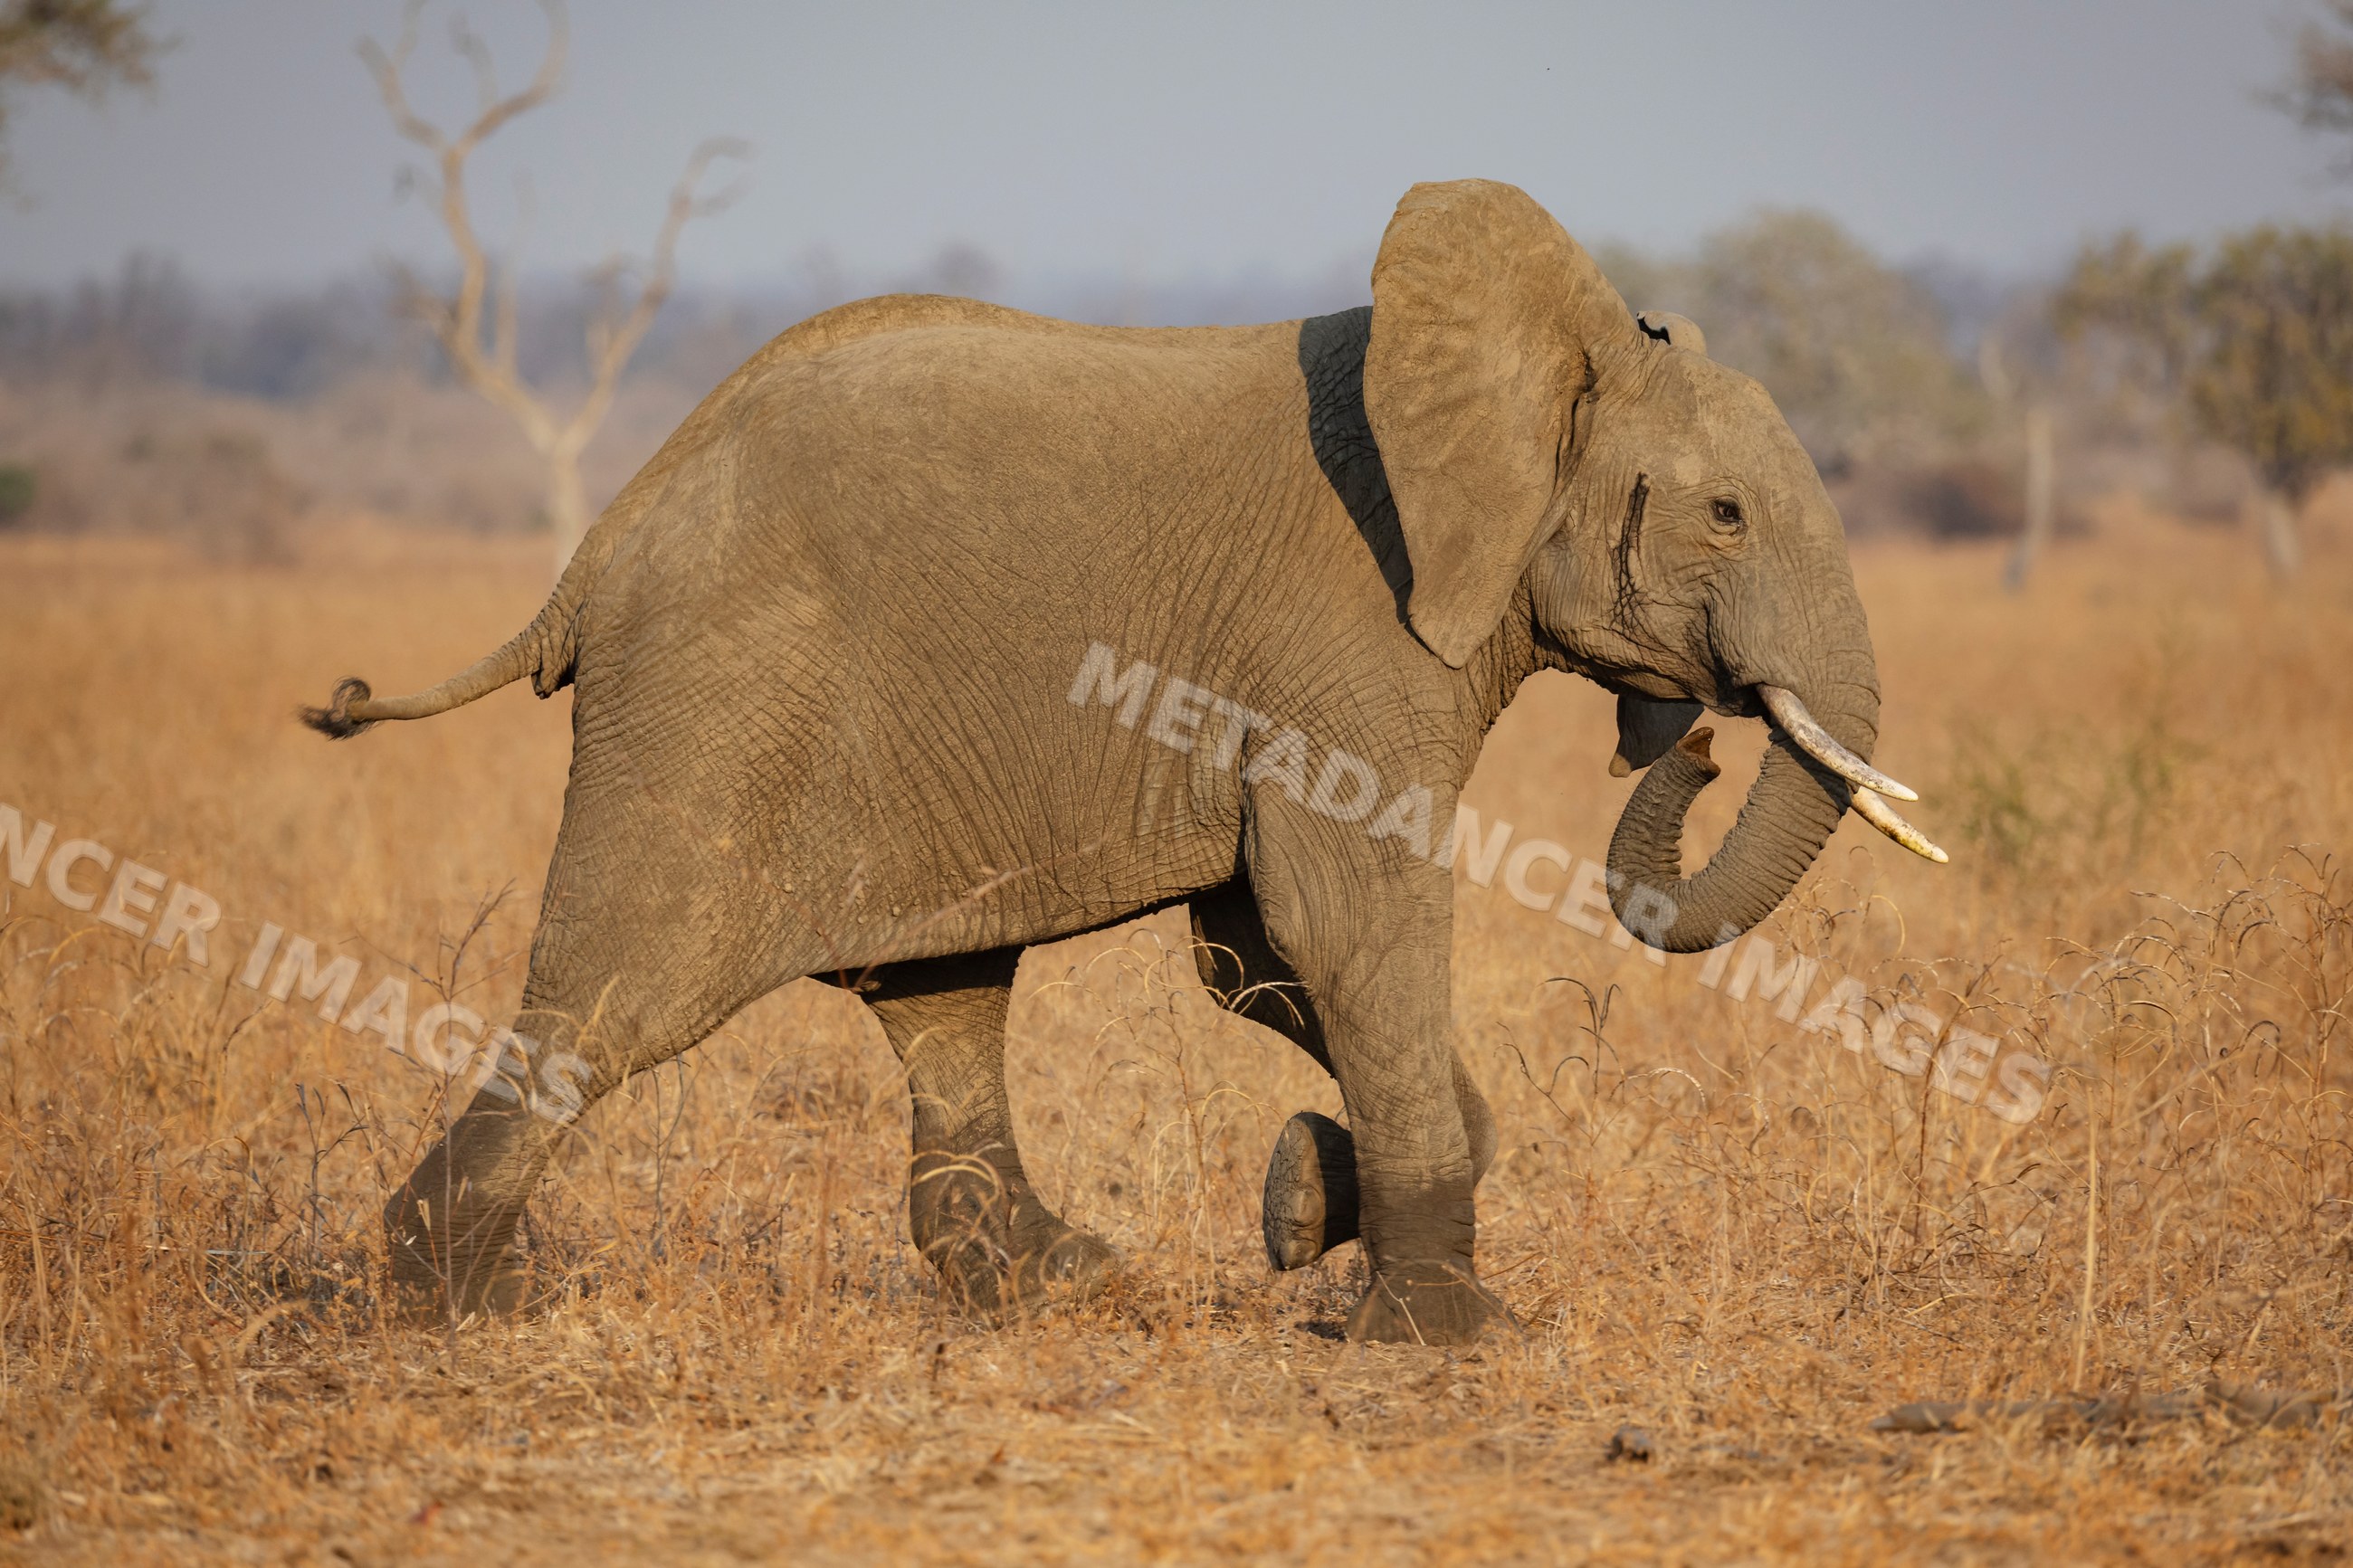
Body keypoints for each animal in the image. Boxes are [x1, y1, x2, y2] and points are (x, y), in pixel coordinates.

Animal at [303, 179, 1941, 1345]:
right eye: (1727, 514)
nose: (1706, 740)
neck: (1533, 354)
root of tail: (600, 544)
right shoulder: (1353, 630)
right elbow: (1341, 914)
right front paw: (1451, 1328)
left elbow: (1262, 948)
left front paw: (1299, 1202)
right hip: (717, 702)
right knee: (620, 987)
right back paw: (446, 1297)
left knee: (939, 992)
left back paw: (1054, 1280)